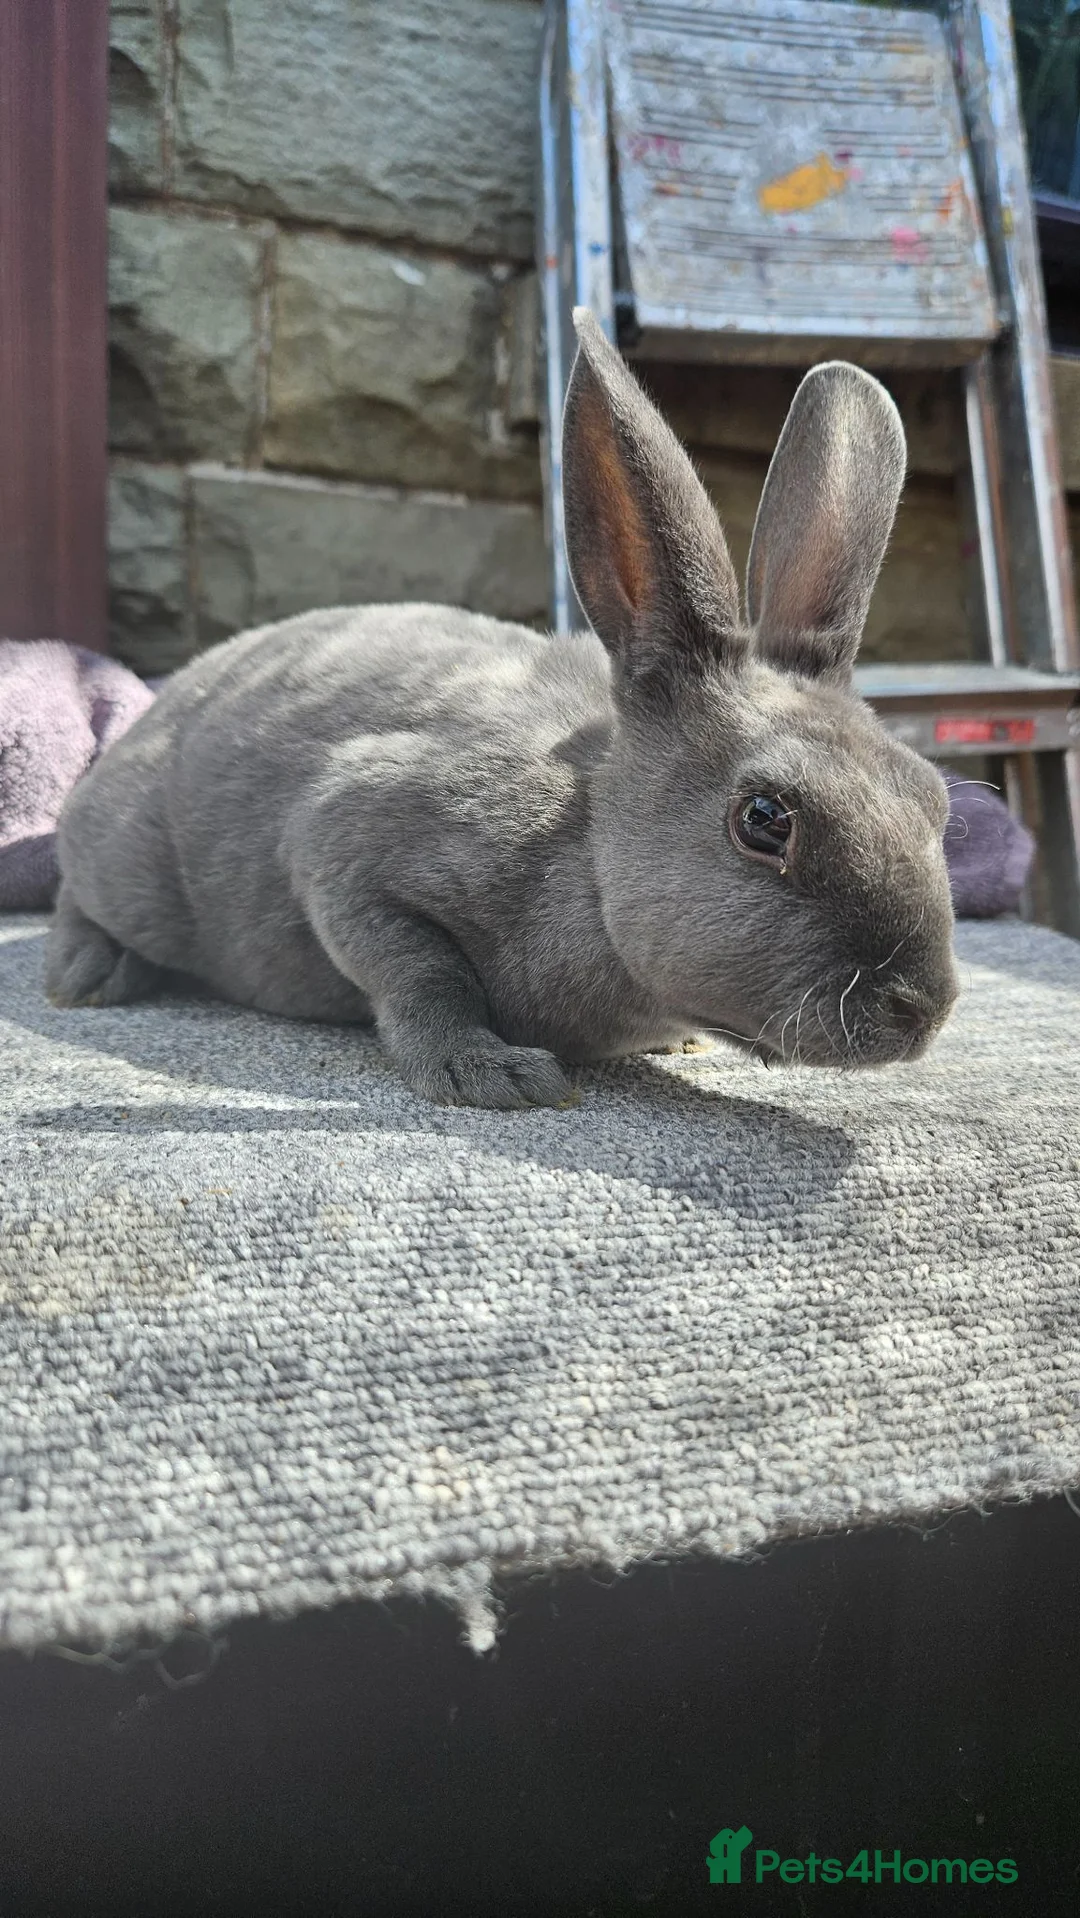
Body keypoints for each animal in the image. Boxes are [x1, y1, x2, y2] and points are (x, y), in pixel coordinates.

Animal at [47, 308, 958, 1109]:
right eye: (765, 820)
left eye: (934, 801)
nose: (925, 1008)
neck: (585, 843)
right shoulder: (345, 846)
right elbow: (421, 975)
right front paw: (492, 1075)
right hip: (128, 858)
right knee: (74, 884)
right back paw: (85, 976)